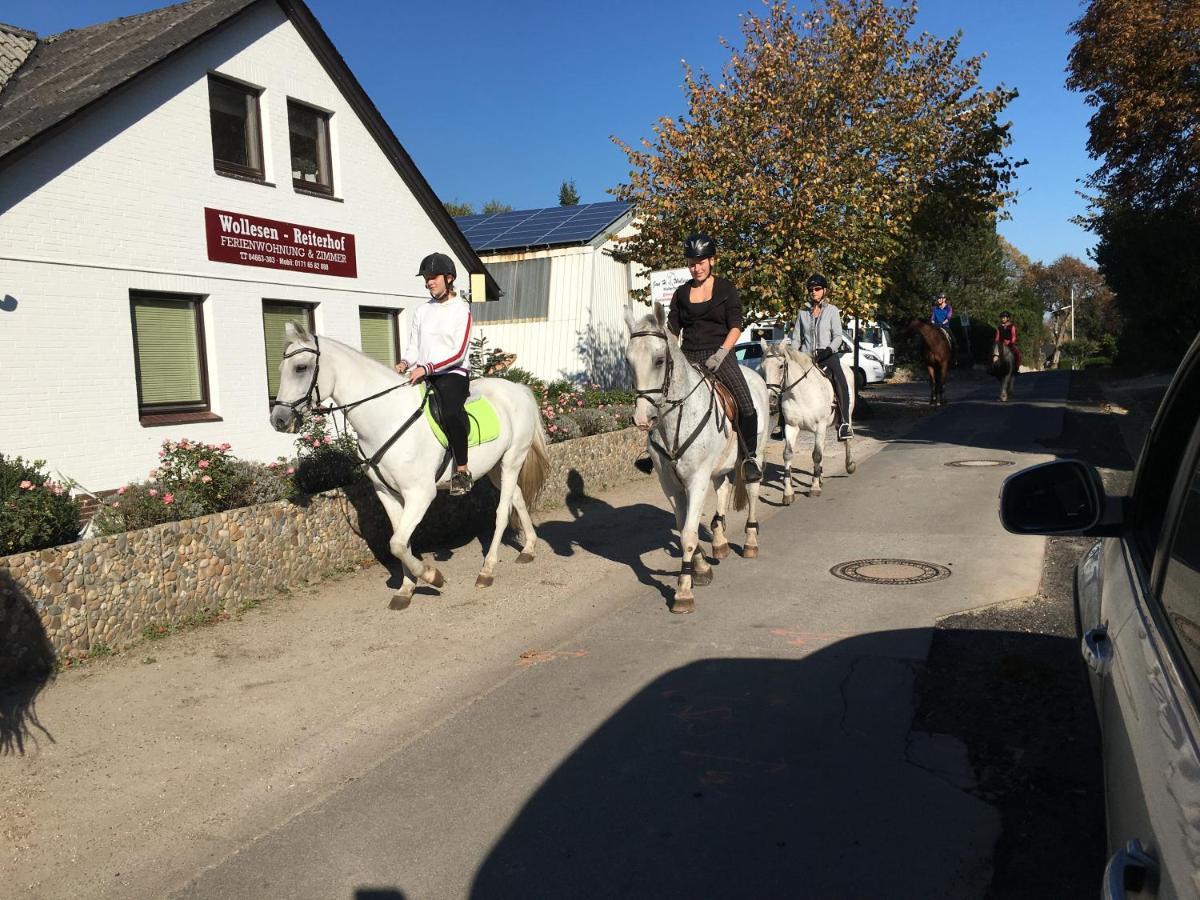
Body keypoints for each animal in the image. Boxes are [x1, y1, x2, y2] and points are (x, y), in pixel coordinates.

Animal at [270, 321, 549, 609]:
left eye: (300, 368)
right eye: (280, 369)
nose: (278, 420)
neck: (387, 416)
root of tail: (518, 389)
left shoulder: (420, 494)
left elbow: (397, 543)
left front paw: (432, 576)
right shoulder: (387, 493)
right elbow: (400, 541)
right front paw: (407, 588)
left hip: (512, 461)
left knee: (502, 512)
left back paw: (487, 570)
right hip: (496, 467)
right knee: (517, 498)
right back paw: (529, 548)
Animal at [628, 303, 768, 614]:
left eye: (659, 360)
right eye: (629, 361)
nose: (643, 418)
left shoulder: (696, 480)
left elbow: (689, 533)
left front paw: (683, 590)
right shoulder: (670, 484)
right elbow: (683, 529)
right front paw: (702, 567)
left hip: (757, 454)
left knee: (752, 490)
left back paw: (751, 542)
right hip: (719, 468)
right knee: (724, 490)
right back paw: (720, 542)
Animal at [758, 340, 854, 504]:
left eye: (781, 366)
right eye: (762, 367)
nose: (770, 400)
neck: (801, 393)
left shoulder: (820, 426)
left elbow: (816, 455)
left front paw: (814, 488)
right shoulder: (791, 426)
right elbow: (788, 454)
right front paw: (788, 493)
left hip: (847, 415)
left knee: (847, 439)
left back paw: (849, 465)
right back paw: (821, 476)